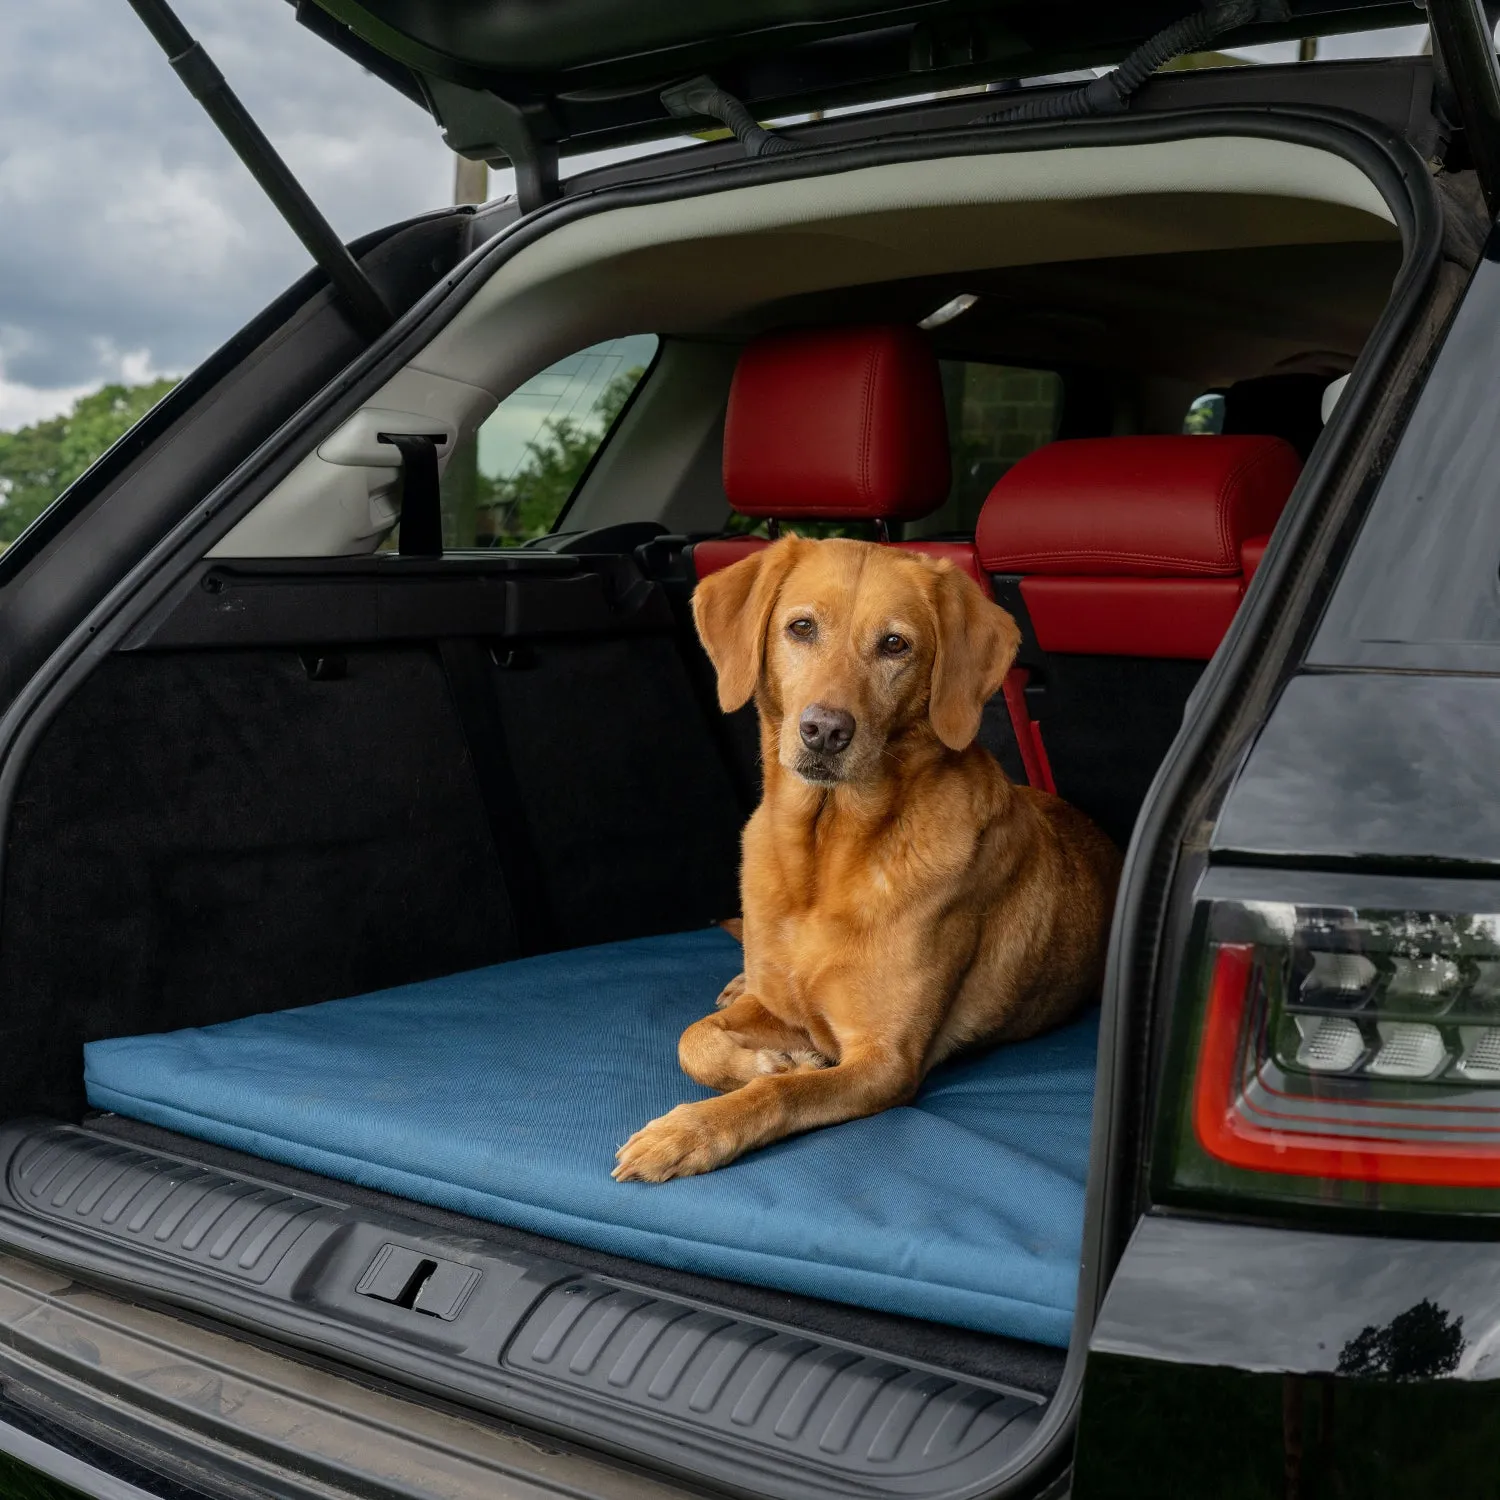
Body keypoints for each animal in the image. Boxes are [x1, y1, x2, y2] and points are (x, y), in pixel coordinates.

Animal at [606, 540, 1116, 1182]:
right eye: (801, 627)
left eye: (895, 644)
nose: (824, 731)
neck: (824, 854)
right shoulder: (782, 1008)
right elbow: (691, 1039)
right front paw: (768, 1060)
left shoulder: (884, 1062)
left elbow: (782, 1094)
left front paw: (694, 1128)